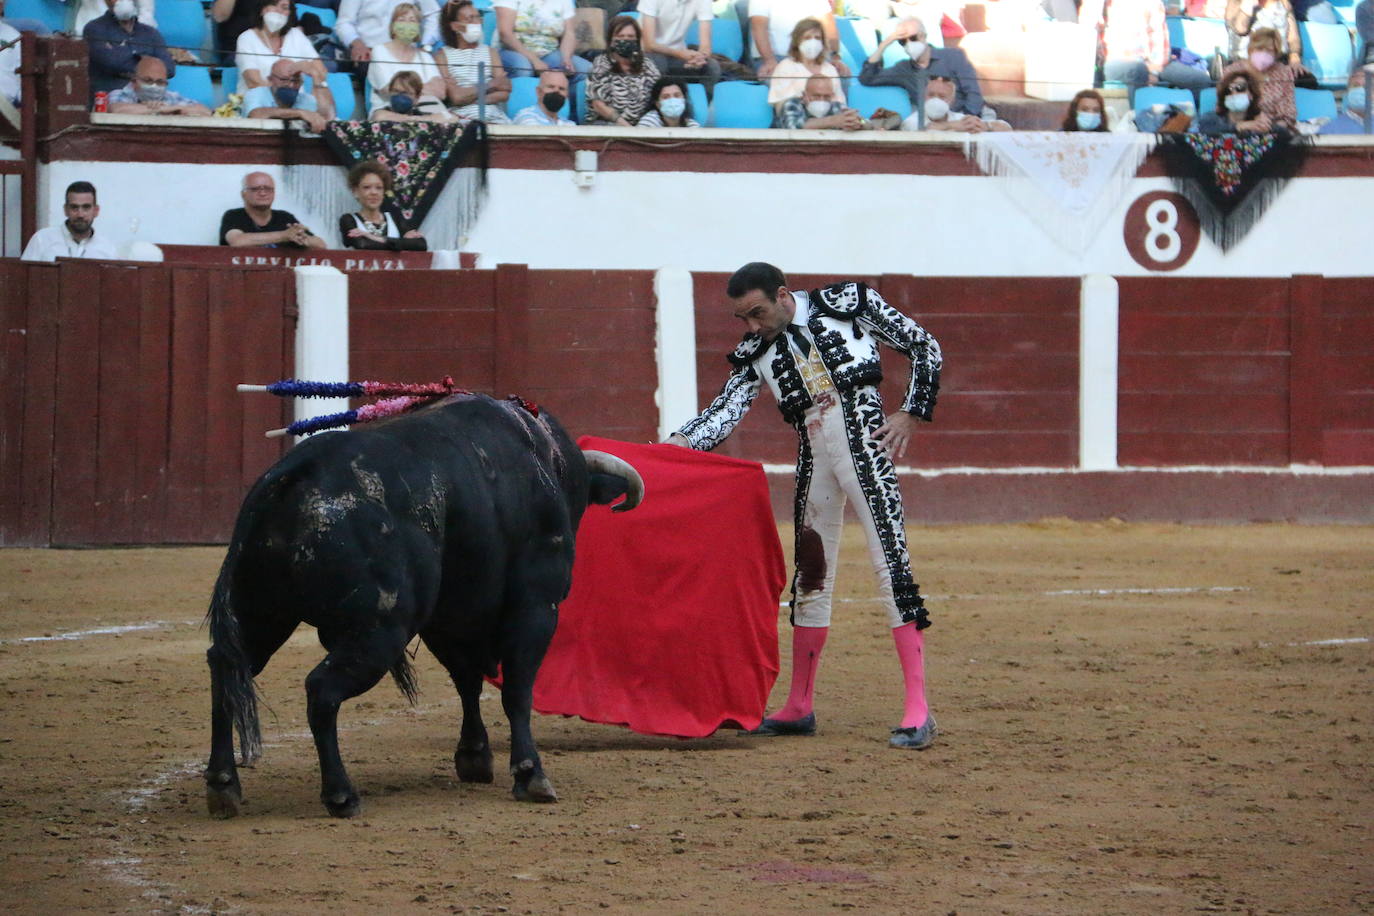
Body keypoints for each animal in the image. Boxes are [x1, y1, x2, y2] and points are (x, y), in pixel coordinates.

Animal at [201, 395, 643, 818]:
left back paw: (223, 786)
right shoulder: (536, 605)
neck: (547, 457)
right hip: (379, 630)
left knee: (226, 669)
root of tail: (293, 476)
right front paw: (530, 775)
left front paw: (474, 758)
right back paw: (341, 794)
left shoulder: (450, 621)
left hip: (261, 616)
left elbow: (467, 681)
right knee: (321, 690)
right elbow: (517, 689)